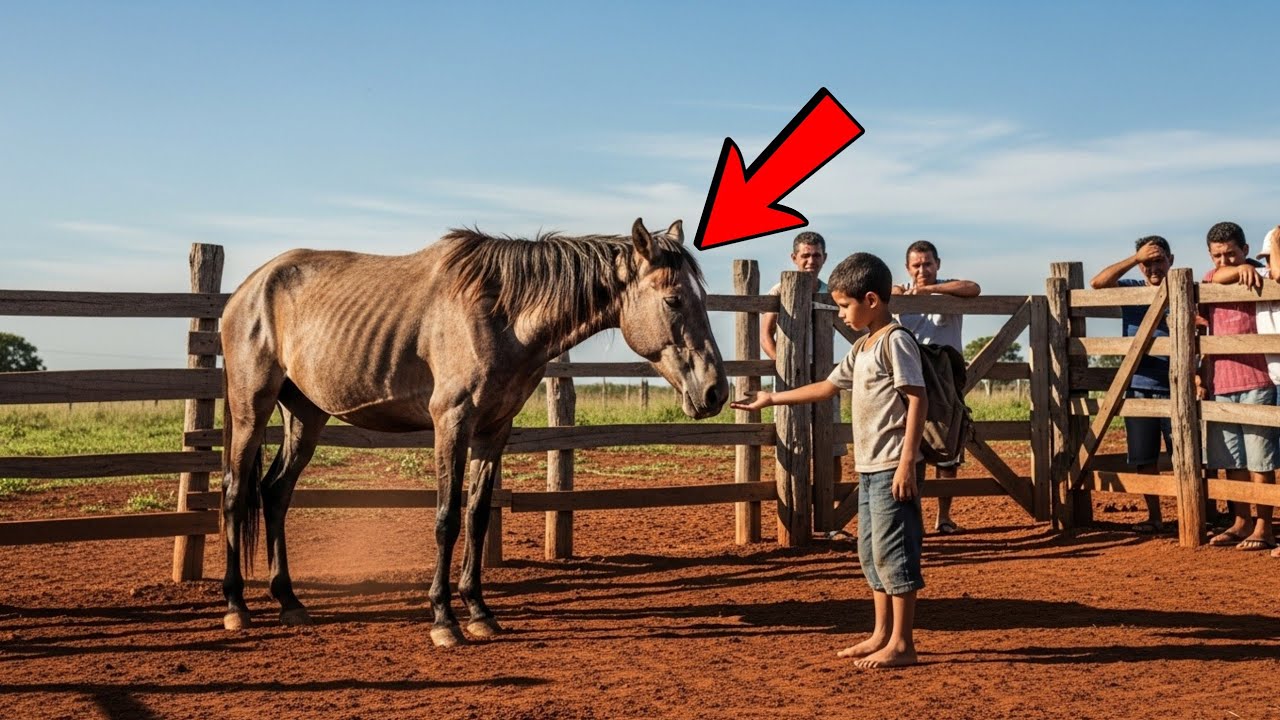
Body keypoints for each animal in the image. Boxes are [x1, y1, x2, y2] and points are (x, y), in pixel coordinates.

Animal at [218, 218, 729, 647]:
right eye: (673, 300)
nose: (715, 392)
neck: (500, 315)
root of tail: (248, 288)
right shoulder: (452, 423)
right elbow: (446, 519)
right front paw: (443, 620)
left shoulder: (493, 430)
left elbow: (478, 517)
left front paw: (480, 613)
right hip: (250, 409)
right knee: (236, 491)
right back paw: (236, 605)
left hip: (305, 415)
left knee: (275, 492)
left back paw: (289, 602)